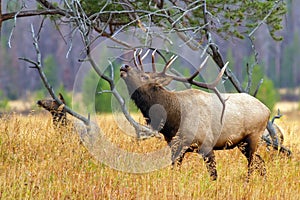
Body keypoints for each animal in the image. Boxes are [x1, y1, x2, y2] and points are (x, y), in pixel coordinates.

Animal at [119, 48, 270, 180]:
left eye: (144, 76)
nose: (124, 66)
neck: (173, 121)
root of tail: (267, 110)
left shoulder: (207, 144)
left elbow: (214, 175)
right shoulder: (175, 147)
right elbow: (175, 171)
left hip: (254, 136)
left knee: (252, 165)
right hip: (242, 143)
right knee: (261, 163)